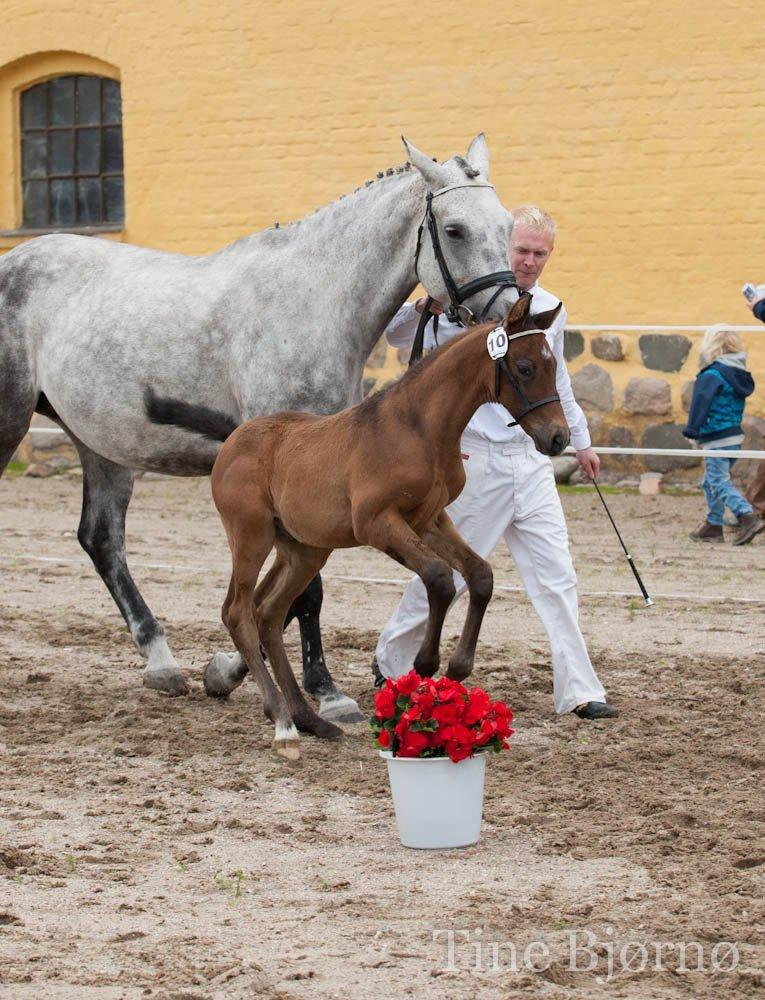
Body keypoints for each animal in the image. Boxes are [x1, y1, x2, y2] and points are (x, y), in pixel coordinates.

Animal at [0, 131, 520, 728]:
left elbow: (280, 598)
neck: (312, 305)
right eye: (455, 229)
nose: (511, 314)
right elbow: (303, 595)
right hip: (12, 422)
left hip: (102, 444)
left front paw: (227, 672)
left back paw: (162, 662)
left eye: (507, 225)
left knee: (102, 540)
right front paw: (324, 691)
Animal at [148, 292, 568, 760]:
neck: (417, 429)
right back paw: (283, 724)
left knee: (269, 612)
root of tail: (236, 436)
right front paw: (423, 666)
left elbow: (480, 575)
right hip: (250, 534)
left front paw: (457, 667)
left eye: (554, 363)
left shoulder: (430, 519)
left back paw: (309, 718)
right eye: (525, 367)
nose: (558, 438)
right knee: (238, 611)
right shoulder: (377, 524)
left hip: (304, 549)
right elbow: (440, 578)